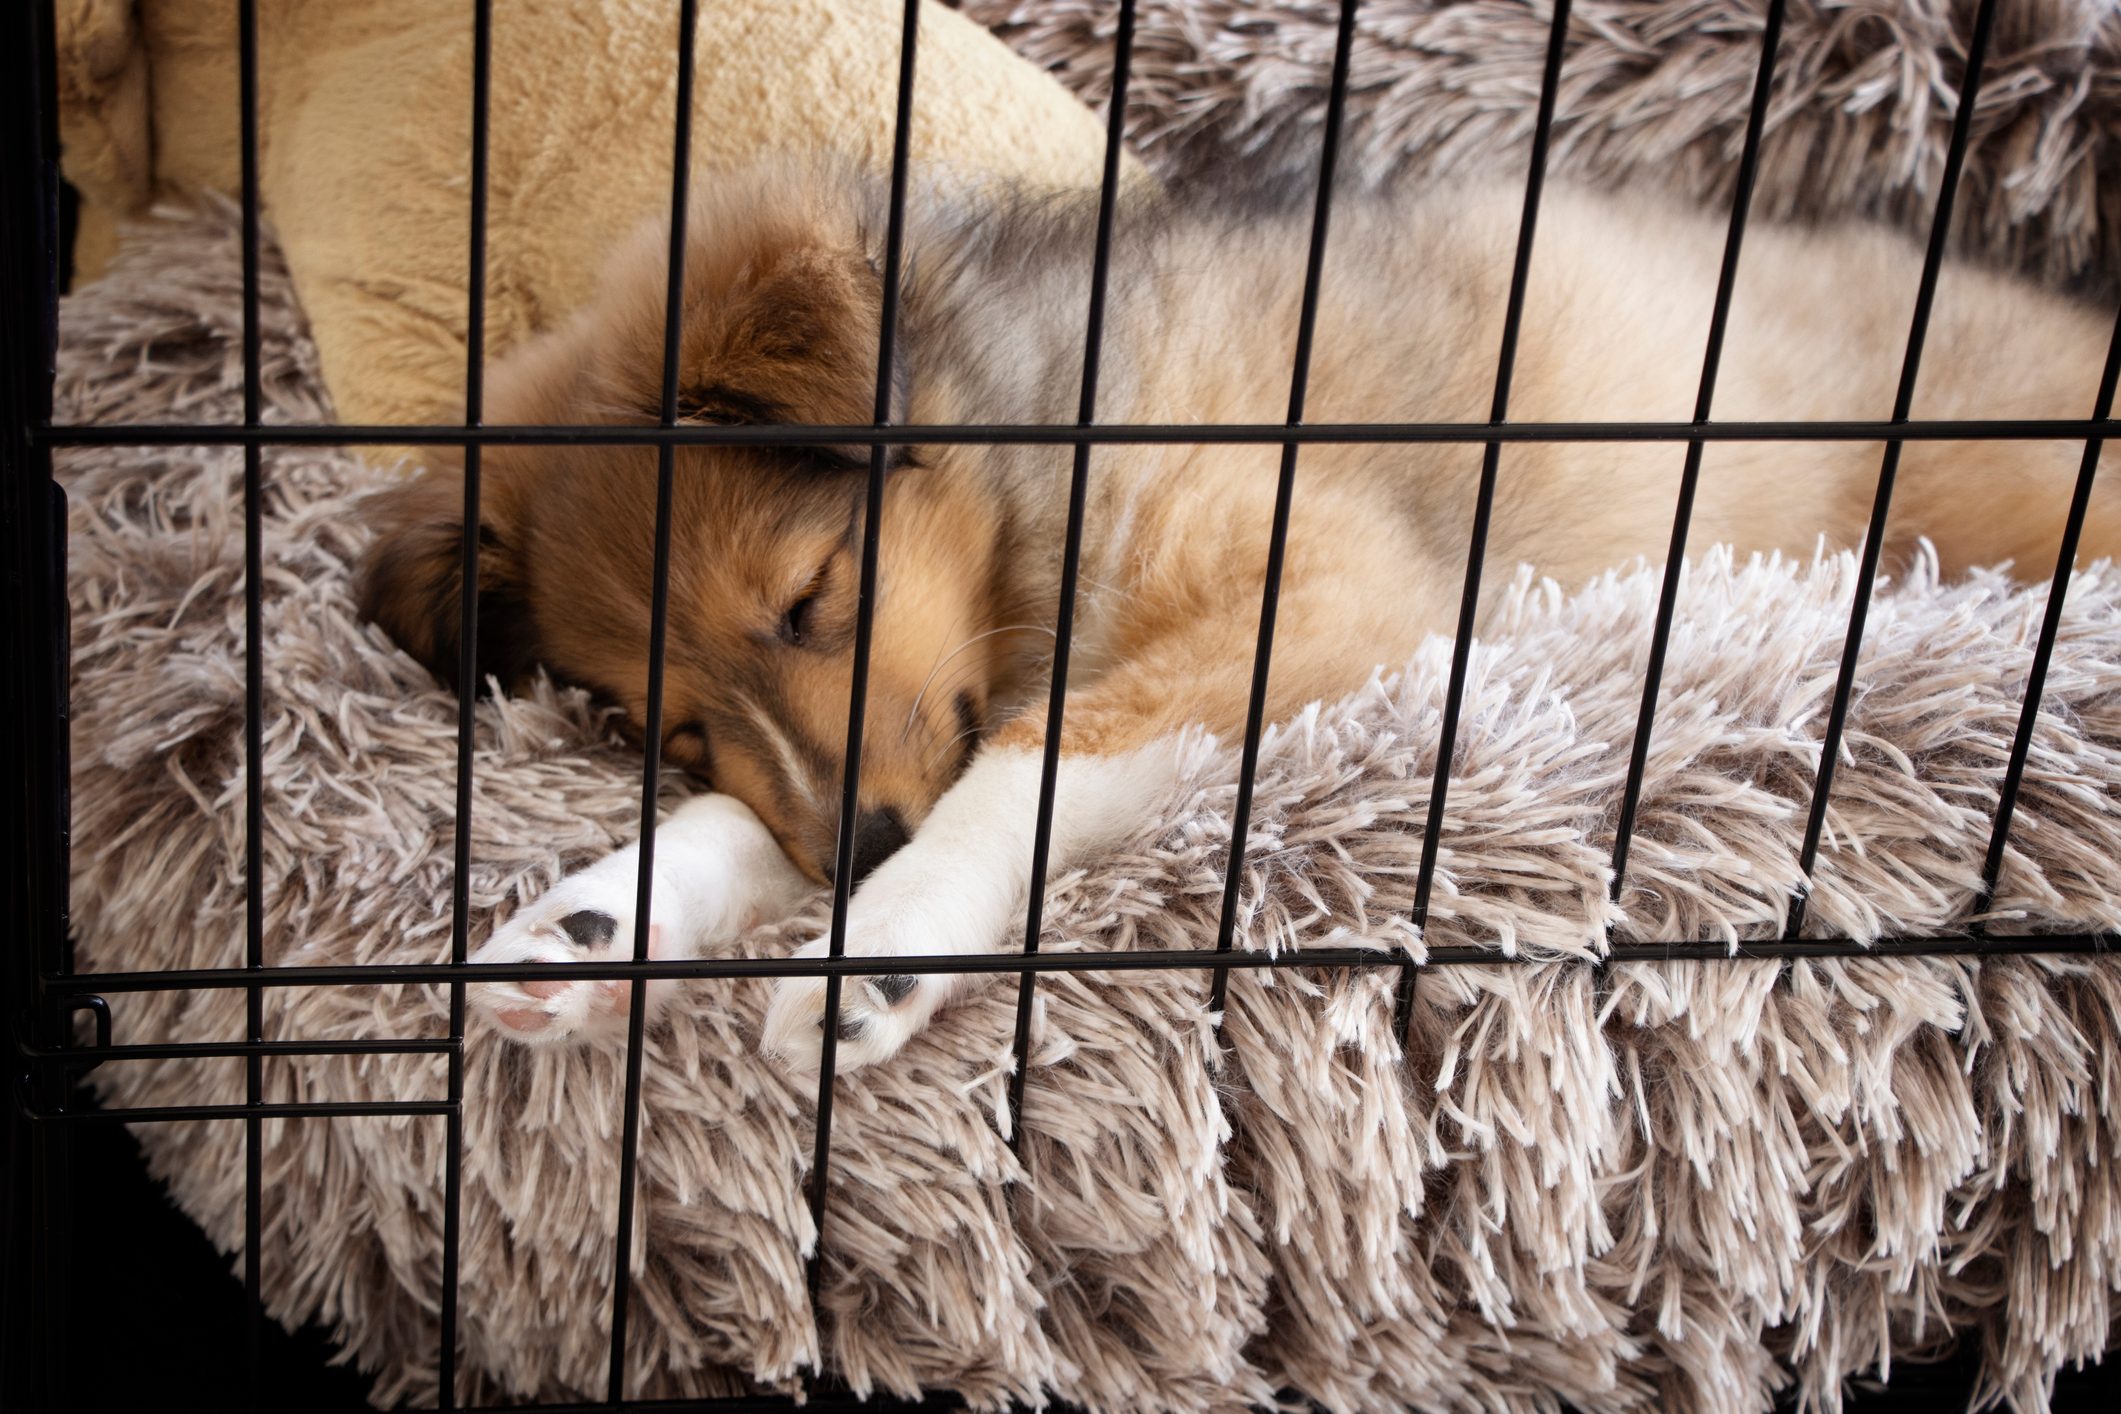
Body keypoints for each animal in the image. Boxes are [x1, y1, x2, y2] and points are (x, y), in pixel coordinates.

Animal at [356, 163, 2112, 1072]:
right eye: (665, 721)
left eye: (811, 597)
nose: (854, 853)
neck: (1043, 444)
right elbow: (765, 810)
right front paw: (589, 924)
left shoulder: (1319, 587)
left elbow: (1031, 764)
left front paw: (883, 944)